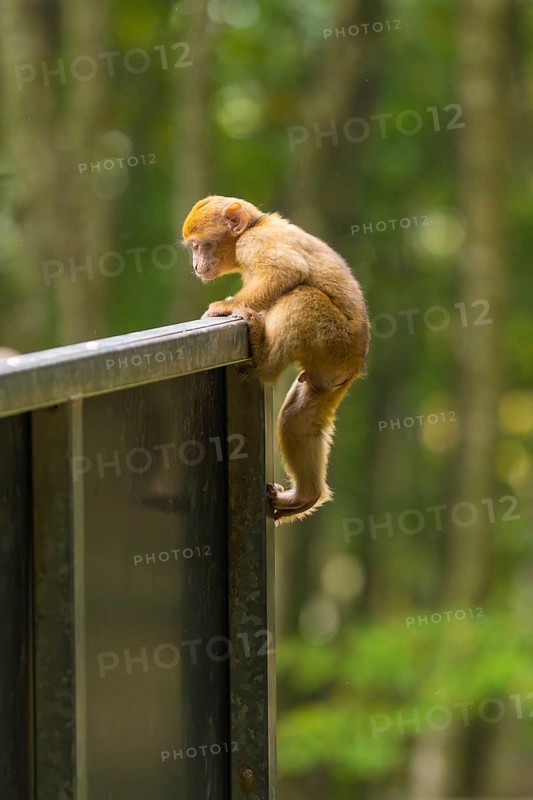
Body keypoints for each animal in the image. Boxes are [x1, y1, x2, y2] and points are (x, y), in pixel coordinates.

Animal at [182, 196, 370, 524]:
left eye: (199, 246)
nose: (195, 265)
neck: (254, 226)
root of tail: (356, 363)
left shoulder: (255, 243)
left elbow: (285, 273)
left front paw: (224, 307)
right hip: (330, 372)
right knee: (299, 418)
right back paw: (307, 496)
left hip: (336, 340)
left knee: (301, 297)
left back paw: (265, 361)